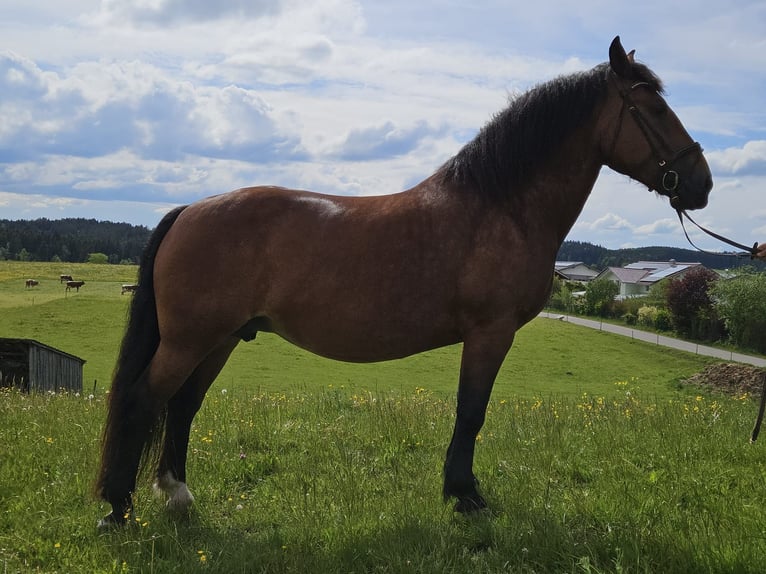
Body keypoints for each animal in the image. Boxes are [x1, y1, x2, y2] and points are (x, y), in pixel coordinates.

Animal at [95, 36, 712, 528]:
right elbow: (471, 412)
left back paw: (177, 496)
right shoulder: (490, 333)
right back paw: (116, 509)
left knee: (181, 406)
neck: (500, 207)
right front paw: (466, 498)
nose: (702, 183)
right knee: (143, 400)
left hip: (220, 339)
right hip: (191, 340)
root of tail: (190, 211)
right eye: (653, 107)